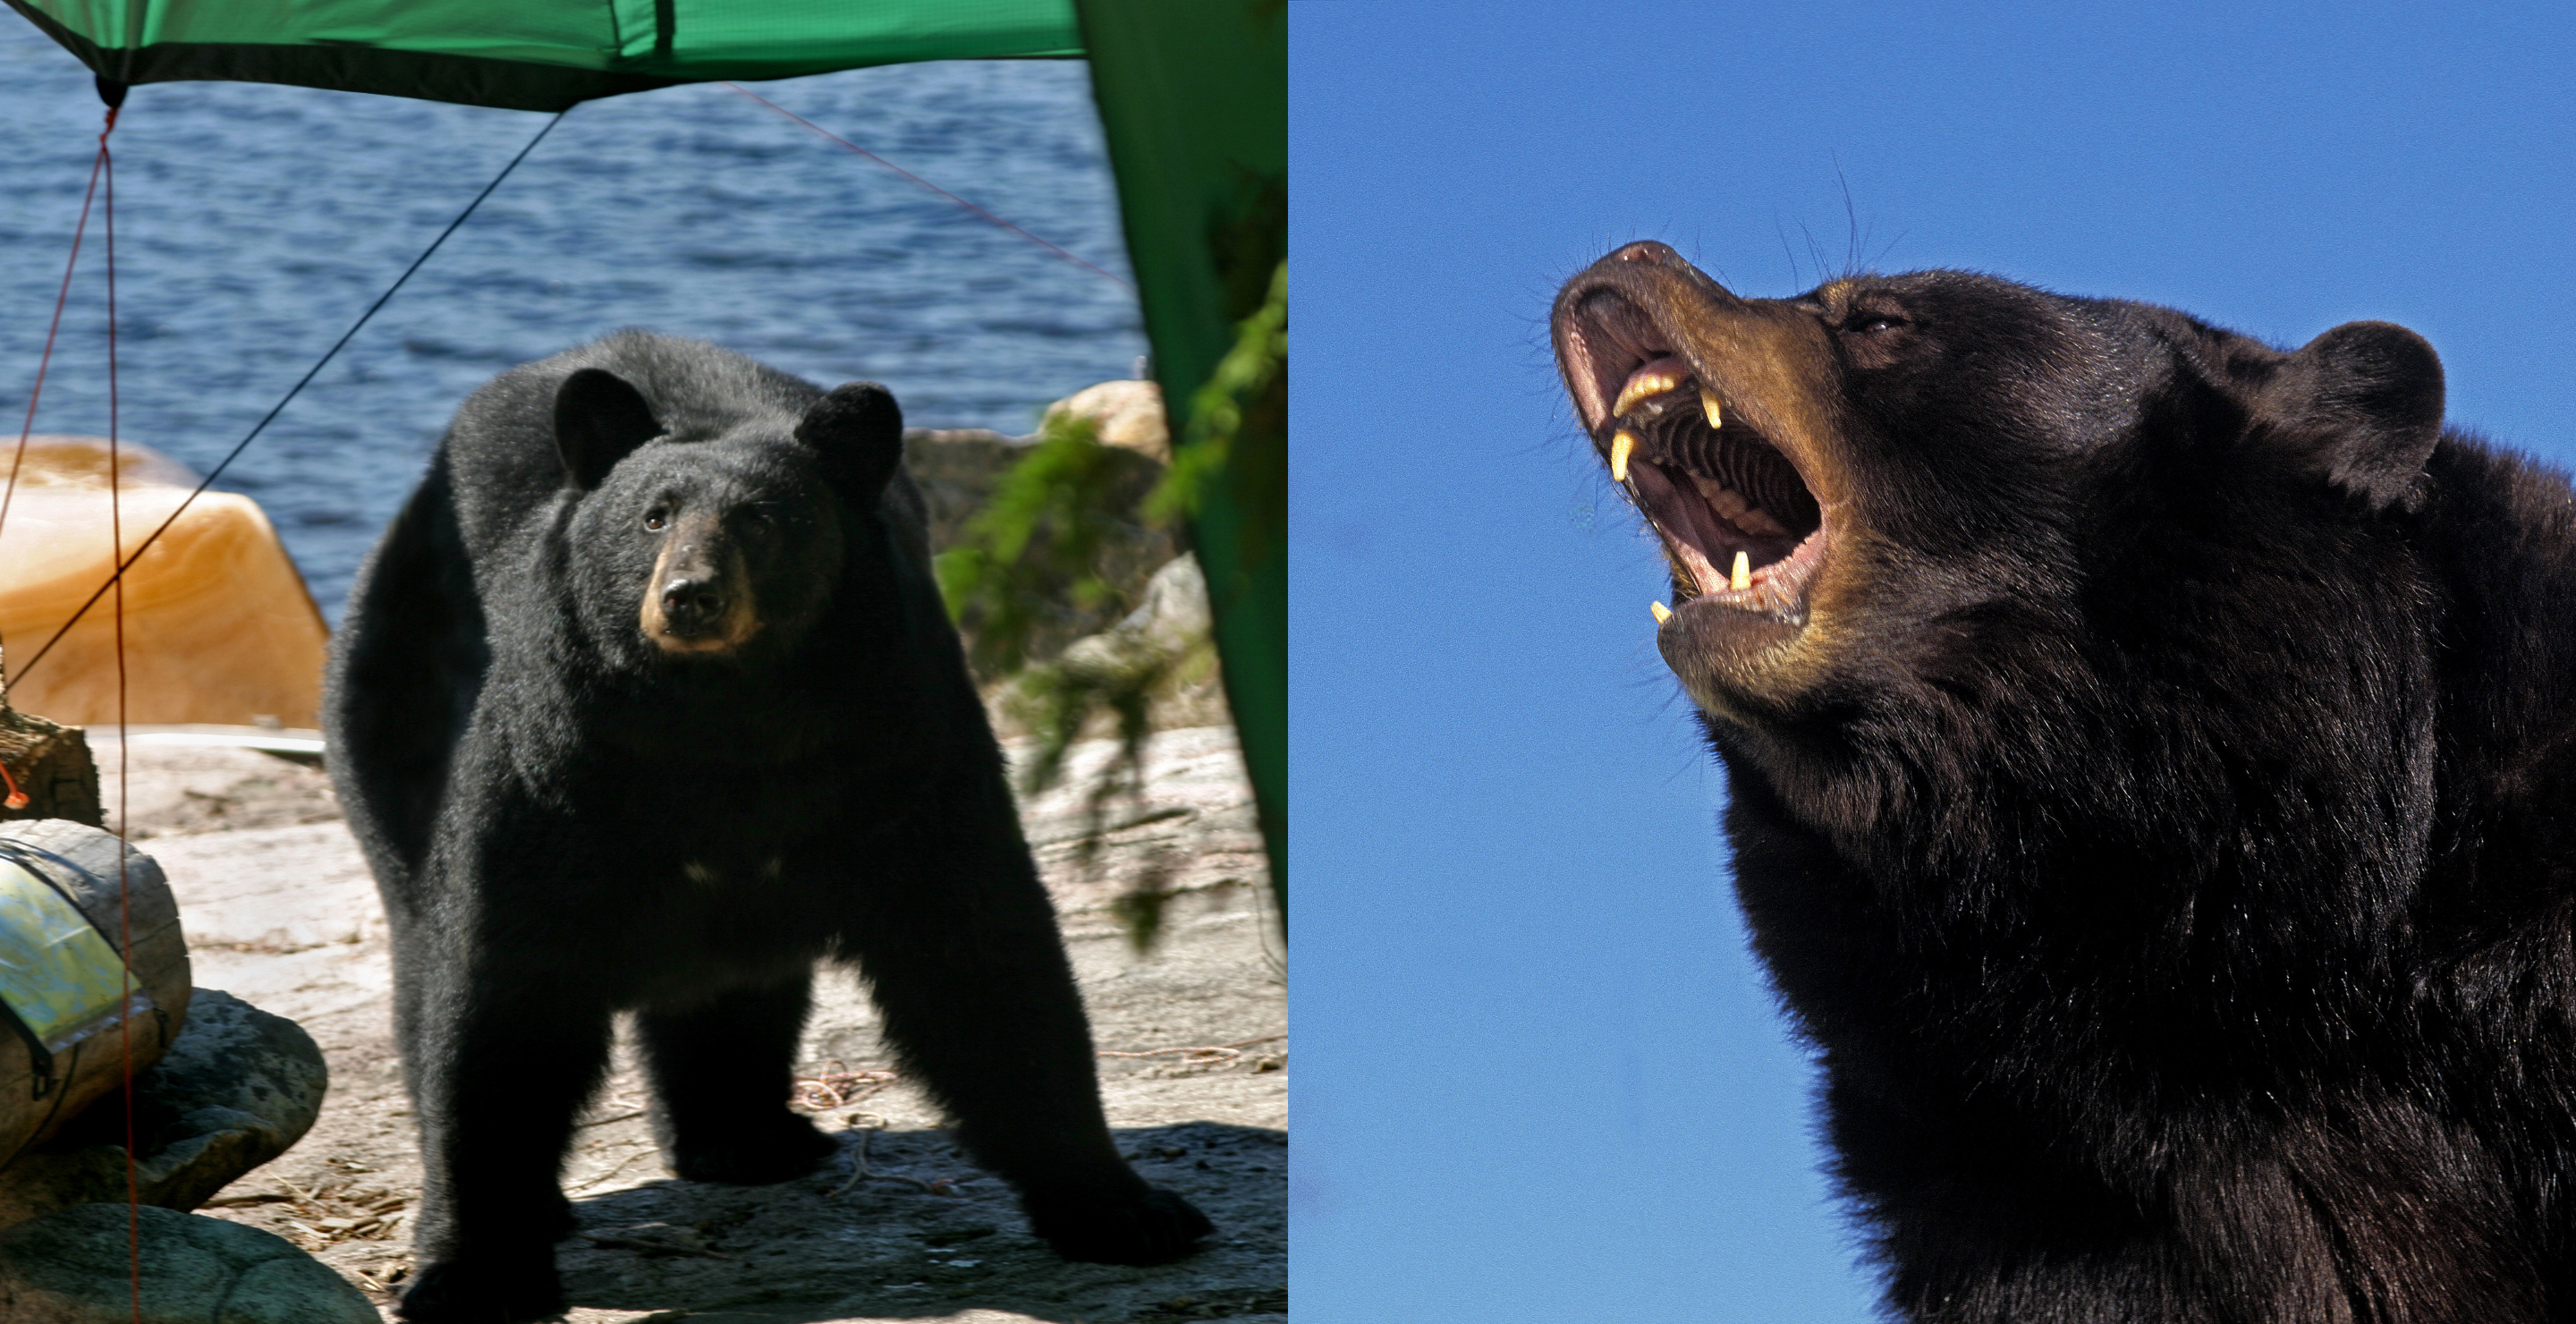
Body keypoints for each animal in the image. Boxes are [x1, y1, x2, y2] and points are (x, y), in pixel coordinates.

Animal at [329, 332, 1205, 1319]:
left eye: (760, 520)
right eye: (653, 516)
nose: (690, 596)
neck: (724, 718)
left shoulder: (900, 743)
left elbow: (982, 958)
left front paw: (1129, 1210)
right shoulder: (557, 764)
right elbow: (502, 996)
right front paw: (469, 1271)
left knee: (737, 986)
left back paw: (748, 1138)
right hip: (403, 682)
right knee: (423, 945)